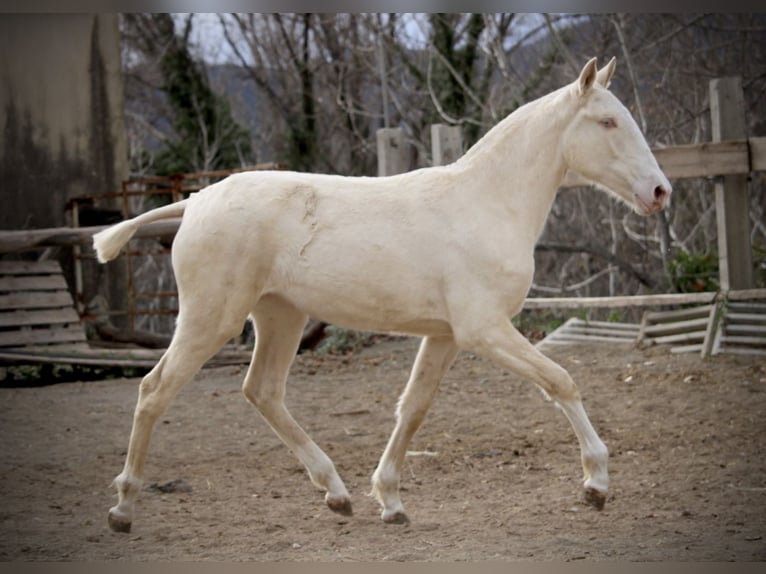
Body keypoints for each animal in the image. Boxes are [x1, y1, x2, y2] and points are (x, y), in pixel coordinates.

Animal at [94, 56, 672, 532]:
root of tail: (194, 201)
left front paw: (391, 501)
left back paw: (337, 494)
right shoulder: (484, 330)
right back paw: (122, 508)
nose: (659, 192)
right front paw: (596, 484)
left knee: (262, 392)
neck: (485, 203)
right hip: (212, 318)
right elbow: (561, 381)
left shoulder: (446, 336)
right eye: (607, 122)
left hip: (281, 316)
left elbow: (412, 408)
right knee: (155, 390)